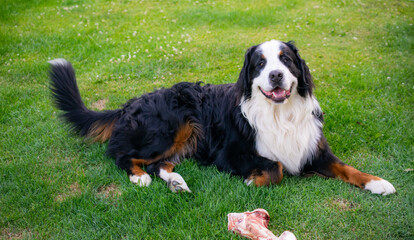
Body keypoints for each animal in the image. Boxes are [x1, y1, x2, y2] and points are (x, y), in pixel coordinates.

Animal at [50, 39, 396, 195]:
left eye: (286, 60)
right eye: (260, 63)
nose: (275, 76)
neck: (280, 114)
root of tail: (131, 103)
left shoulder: (313, 149)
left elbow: (347, 167)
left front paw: (377, 182)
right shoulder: (230, 154)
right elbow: (277, 166)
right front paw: (254, 178)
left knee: (158, 163)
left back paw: (175, 180)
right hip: (173, 124)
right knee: (124, 155)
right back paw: (139, 177)